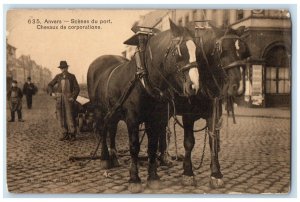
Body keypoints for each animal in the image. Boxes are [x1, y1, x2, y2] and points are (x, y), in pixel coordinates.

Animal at [86, 20, 199, 193]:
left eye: (196, 51)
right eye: (180, 52)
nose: (194, 86)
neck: (145, 78)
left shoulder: (155, 119)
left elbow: (152, 146)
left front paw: (153, 177)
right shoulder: (132, 119)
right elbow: (134, 147)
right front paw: (134, 179)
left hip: (113, 111)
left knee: (111, 129)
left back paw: (114, 157)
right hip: (99, 110)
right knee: (103, 131)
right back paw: (105, 159)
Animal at [158, 24, 252, 188]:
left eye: (242, 52)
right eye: (222, 51)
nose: (239, 87)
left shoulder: (214, 113)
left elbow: (213, 140)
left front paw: (216, 173)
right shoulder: (188, 116)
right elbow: (189, 142)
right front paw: (188, 172)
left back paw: (164, 158)